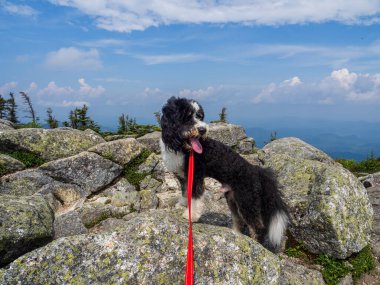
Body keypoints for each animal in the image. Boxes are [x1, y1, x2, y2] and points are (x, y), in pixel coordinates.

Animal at [158, 96, 288, 251]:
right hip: (232, 198)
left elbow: (194, 197)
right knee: (239, 219)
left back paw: (256, 243)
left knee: (257, 226)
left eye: (199, 116)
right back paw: (236, 234)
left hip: (247, 200)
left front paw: (191, 215)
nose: (203, 129)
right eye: (187, 117)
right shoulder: (183, 177)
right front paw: (183, 204)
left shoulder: (196, 175)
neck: (181, 147)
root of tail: (257, 171)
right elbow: (185, 191)